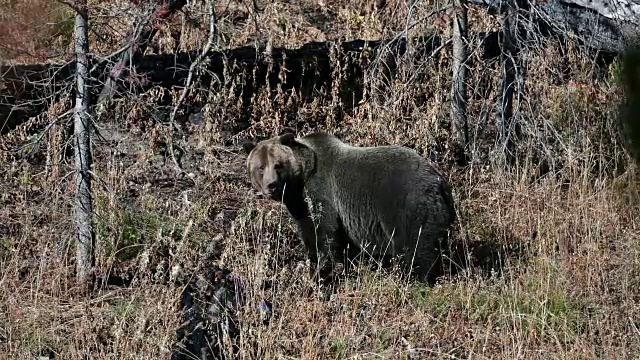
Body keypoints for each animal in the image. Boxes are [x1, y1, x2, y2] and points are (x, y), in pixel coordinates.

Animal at [242, 131, 458, 286]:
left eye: (278, 165)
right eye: (260, 167)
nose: (271, 185)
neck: (299, 181)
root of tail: (439, 181)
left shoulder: (320, 193)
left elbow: (323, 234)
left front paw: (322, 272)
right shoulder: (301, 205)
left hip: (409, 204)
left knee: (416, 246)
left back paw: (414, 279)